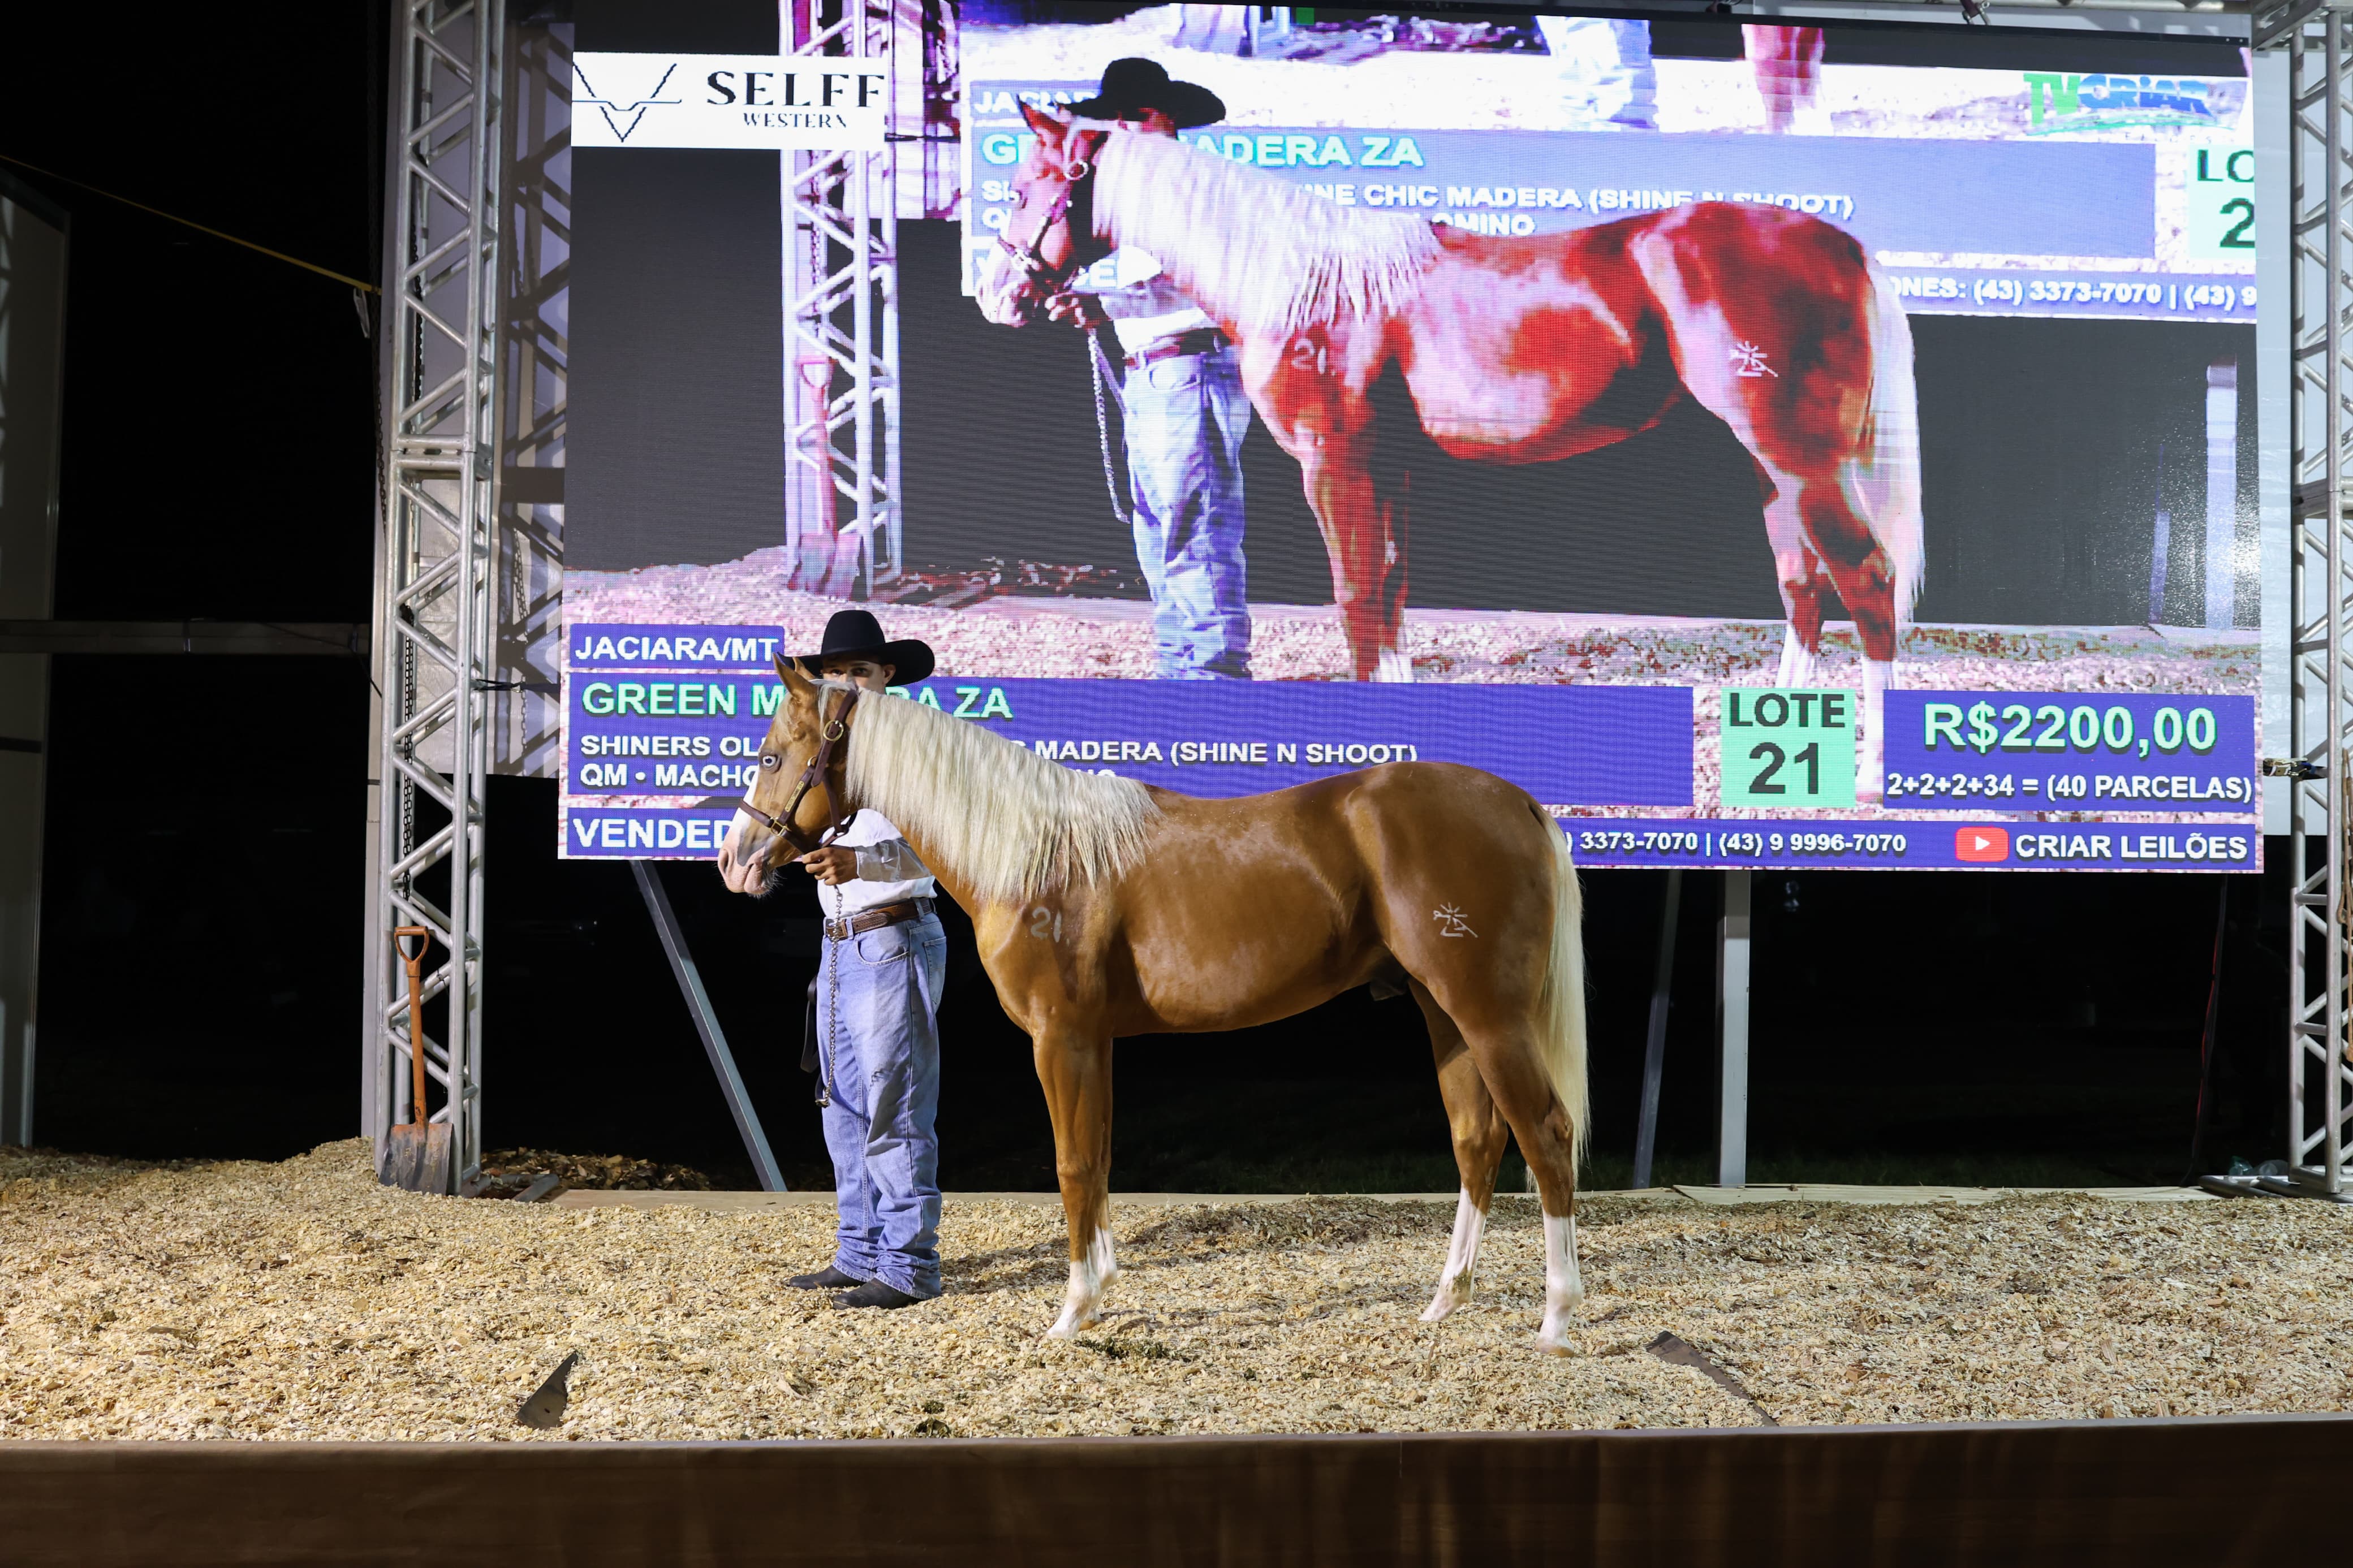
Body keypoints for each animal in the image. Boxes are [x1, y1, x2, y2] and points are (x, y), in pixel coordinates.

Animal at [715, 663, 1591, 1354]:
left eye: (769, 755)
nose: (735, 860)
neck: (1037, 853)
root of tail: (1522, 805)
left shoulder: (1061, 1038)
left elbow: (1072, 1165)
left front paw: (1070, 1315)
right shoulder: (1094, 1041)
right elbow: (1099, 1159)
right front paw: (1099, 1295)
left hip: (1489, 1016)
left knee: (1545, 1135)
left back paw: (1556, 1321)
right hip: (1445, 1016)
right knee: (1477, 1140)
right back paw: (1444, 1302)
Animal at [983, 109, 1920, 789]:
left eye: (1028, 189)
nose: (998, 295)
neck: (1307, 283)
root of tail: (1841, 247)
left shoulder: (1335, 463)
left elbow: (1358, 602)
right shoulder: (1385, 465)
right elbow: (1392, 592)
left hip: (1801, 460)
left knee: (1867, 582)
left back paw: (1873, 776)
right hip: (1776, 470)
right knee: (1803, 591)